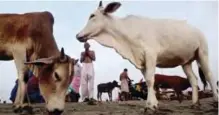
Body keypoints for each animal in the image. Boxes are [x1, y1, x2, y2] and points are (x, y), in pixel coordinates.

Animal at [75, 0, 217, 110]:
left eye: (92, 15)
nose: (78, 35)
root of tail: (196, 30)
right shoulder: (142, 62)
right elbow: (149, 82)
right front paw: (152, 103)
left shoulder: (151, 55)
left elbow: (150, 80)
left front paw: (151, 105)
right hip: (185, 62)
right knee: (193, 80)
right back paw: (195, 103)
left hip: (202, 53)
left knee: (209, 76)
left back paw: (215, 99)